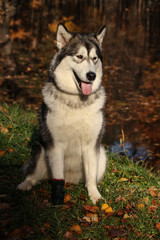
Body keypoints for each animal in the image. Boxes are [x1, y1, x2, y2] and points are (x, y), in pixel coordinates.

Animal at [17, 23, 107, 204]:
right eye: (79, 56)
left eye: (94, 59)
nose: (92, 76)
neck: (77, 102)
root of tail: (71, 179)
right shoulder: (55, 145)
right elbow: (58, 178)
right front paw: (57, 198)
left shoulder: (92, 145)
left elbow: (91, 178)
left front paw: (95, 196)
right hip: (40, 151)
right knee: (33, 174)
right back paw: (26, 184)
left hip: (102, 156)